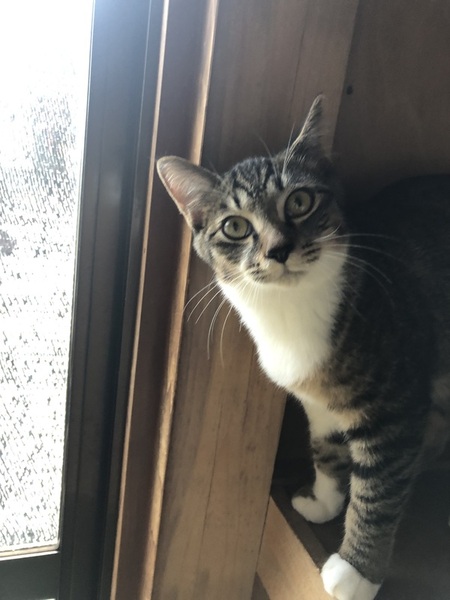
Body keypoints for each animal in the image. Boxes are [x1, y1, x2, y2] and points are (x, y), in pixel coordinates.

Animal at [156, 96, 450, 600]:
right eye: (235, 226)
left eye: (299, 201)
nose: (278, 249)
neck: (289, 313)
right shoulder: (317, 400)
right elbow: (326, 448)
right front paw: (323, 501)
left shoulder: (397, 404)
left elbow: (378, 490)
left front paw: (356, 571)